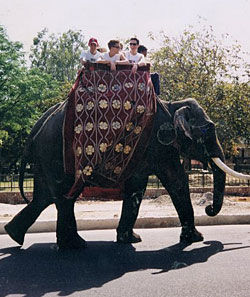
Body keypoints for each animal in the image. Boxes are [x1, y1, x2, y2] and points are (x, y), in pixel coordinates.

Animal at [4, 96, 242, 247]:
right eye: (209, 129)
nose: (209, 209)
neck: (172, 105)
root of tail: (37, 126)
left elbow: (138, 187)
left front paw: (131, 239)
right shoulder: (158, 146)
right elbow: (176, 181)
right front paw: (195, 239)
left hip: (44, 158)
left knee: (43, 197)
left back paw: (14, 236)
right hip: (56, 154)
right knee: (63, 197)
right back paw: (75, 245)